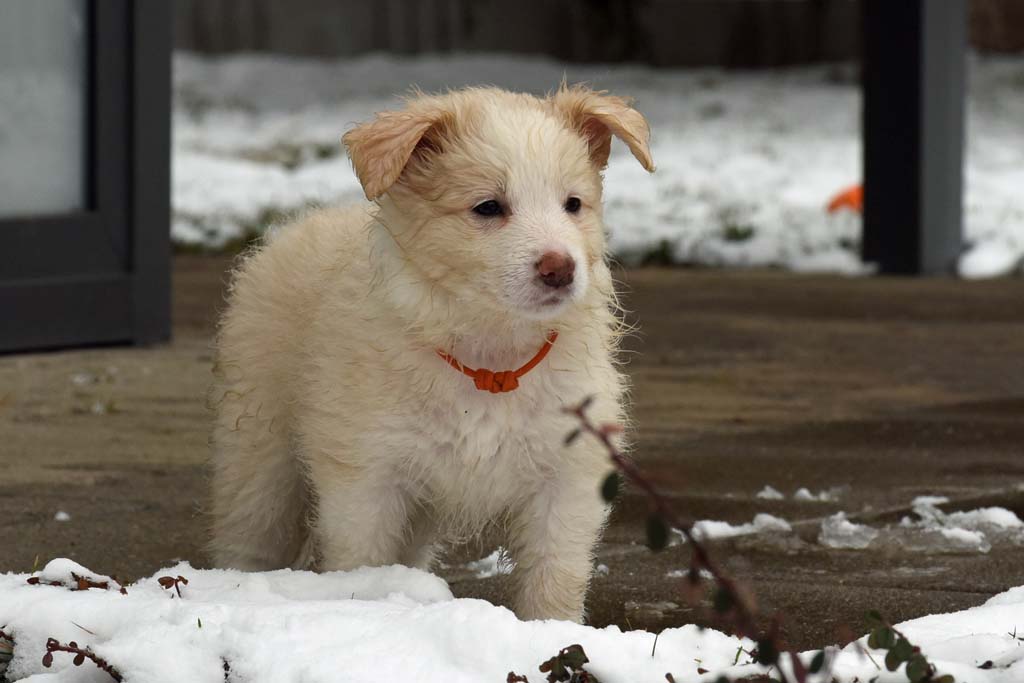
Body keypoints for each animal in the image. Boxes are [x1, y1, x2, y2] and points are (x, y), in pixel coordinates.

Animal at [207, 82, 655, 622]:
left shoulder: (566, 479)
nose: (560, 269)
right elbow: (361, 566)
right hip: (260, 451)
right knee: (250, 531)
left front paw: (550, 631)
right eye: (488, 207)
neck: (491, 358)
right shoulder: (367, 478)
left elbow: (554, 578)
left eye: (573, 204)